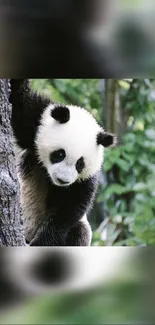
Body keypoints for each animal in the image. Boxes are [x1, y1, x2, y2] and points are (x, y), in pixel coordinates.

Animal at [9, 79, 115, 246]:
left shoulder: (84, 180)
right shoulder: (36, 122)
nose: (63, 180)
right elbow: (19, 101)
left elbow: (68, 209)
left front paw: (40, 242)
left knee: (79, 231)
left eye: (80, 164)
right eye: (59, 154)